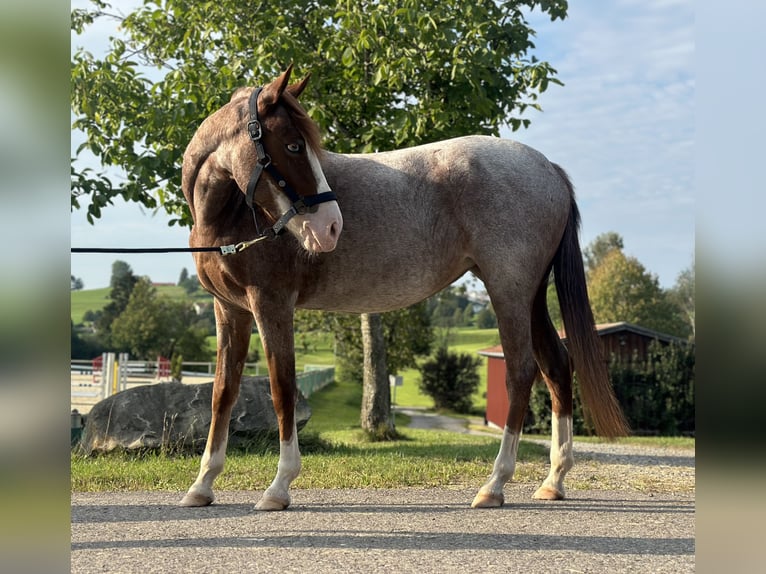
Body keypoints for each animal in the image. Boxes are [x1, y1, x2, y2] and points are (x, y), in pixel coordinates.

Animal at [180, 66, 632, 512]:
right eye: (292, 145)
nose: (331, 226)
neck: (228, 217)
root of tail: (548, 169)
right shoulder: (230, 310)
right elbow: (223, 391)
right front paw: (202, 485)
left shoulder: (271, 305)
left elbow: (281, 387)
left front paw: (279, 487)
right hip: (533, 296)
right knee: (556, 367)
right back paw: (553, 480)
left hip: (509, 290)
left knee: (521, 373)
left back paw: (495, 484)